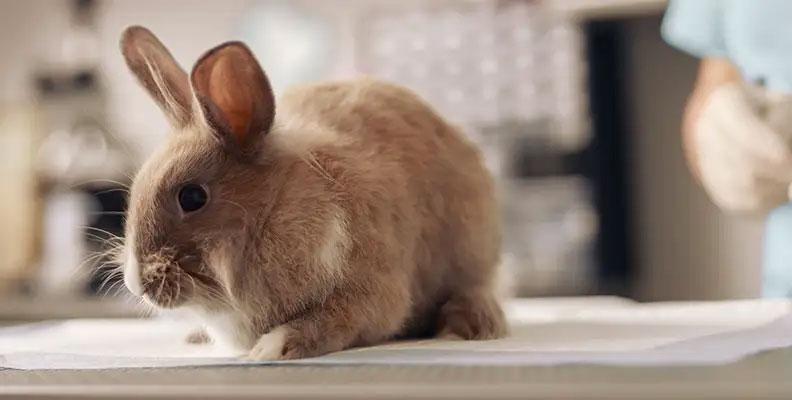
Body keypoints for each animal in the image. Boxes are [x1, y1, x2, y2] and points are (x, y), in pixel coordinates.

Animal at [119, 25, 507, 360]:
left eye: (192, 197)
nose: (136, 284)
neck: (273, 209)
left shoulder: (371, 294)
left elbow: (332, 321)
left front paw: (270, 348)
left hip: (471, 252)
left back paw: (471, 324)